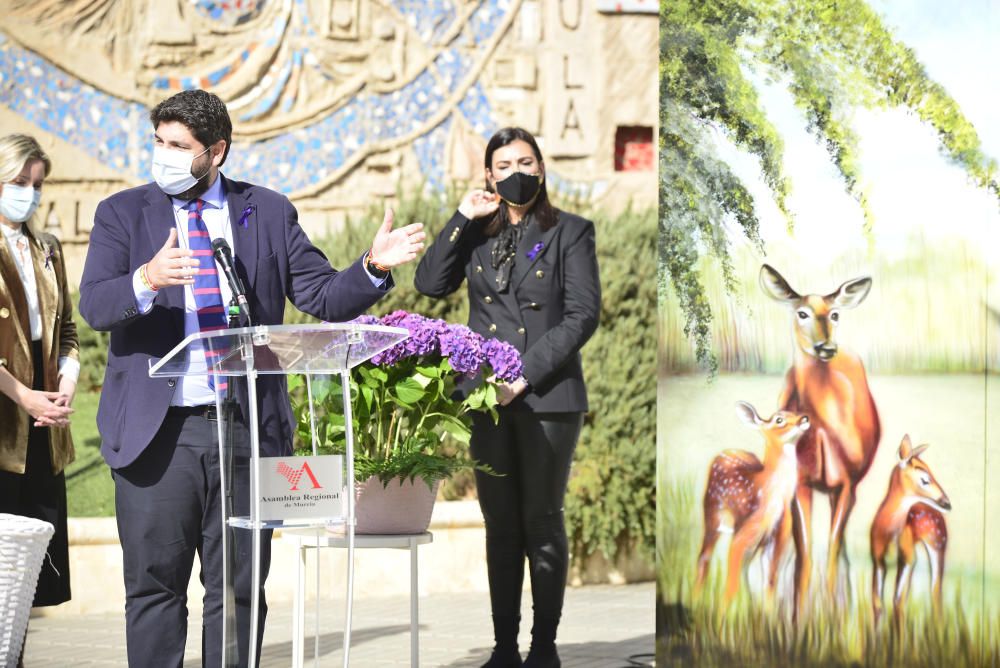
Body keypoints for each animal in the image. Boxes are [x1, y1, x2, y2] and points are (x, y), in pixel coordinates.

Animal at [700, 402, 808, 604]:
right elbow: (731, 586)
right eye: (779, 419)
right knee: (704, 558)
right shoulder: (743, 534)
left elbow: (770, 584)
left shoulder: (777, 540)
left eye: (793, 412)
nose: (804, 418)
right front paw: (724, 611)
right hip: (712, 513)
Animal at [760, 262, 880, 616]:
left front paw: (835, 619)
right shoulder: (800, 483)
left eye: (835, 314)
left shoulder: (847, 483)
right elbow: (805, 558)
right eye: (801, 313)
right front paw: (799, 620)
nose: (826, 347)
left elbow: (831, 553)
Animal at [868, 436, 952, 624]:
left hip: (937, 544)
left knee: (936, 591)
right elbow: (878, 604)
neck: (888, 532)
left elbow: (897, 603)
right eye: (925, 479)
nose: (947, 502)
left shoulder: (906, 558)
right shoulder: (877, 559)